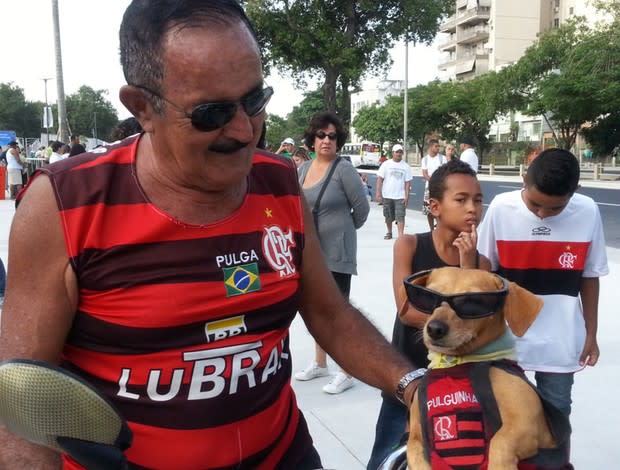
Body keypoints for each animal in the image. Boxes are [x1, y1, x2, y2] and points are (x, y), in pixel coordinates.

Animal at [402, 268, 572, 470]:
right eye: (428, 295)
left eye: (473, 302)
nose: (435, 329)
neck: (455, 363)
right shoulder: (415, 436)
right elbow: (414, 453)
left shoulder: (527, 422)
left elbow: (499, 442)